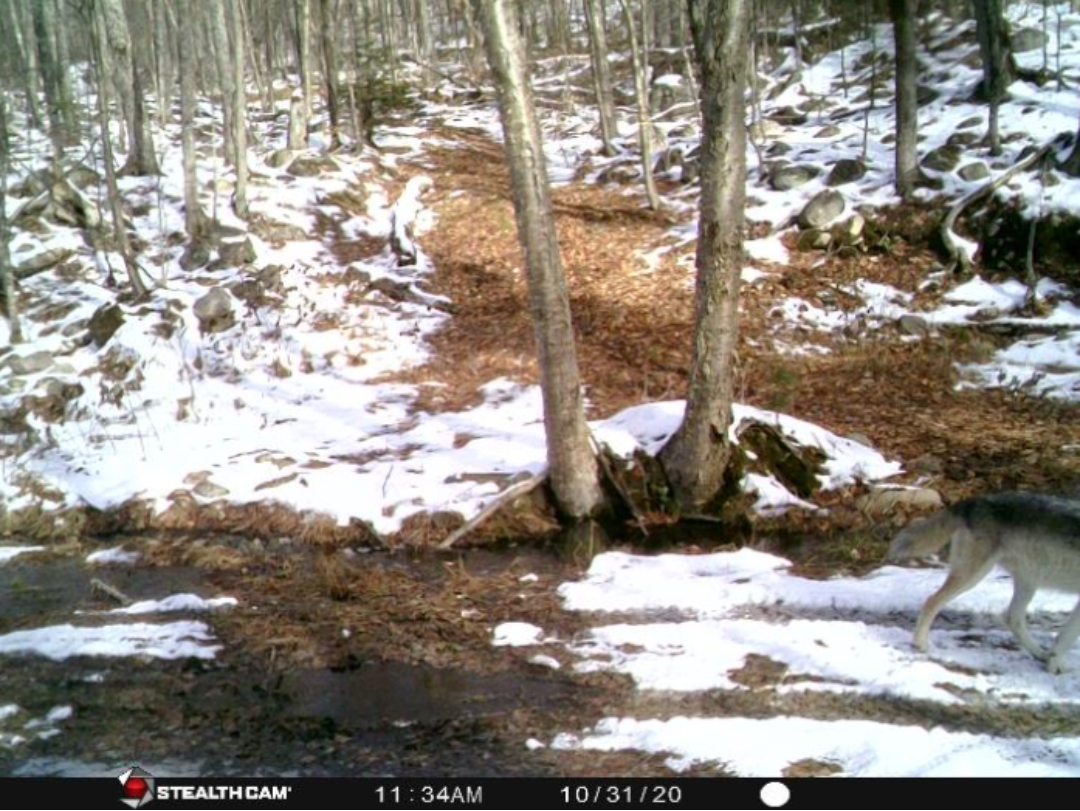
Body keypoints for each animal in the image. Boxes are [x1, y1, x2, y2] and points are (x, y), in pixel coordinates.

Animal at [887, 491, 1080, 674]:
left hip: (1027, 581)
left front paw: (1053, 662)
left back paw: (1040, 653)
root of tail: (975, 501)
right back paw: (920, 644)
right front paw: (1055, 666)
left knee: (1012, 617)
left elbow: (1066, 634)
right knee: (931, 601)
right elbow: (1067, 636)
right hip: (974, 575)